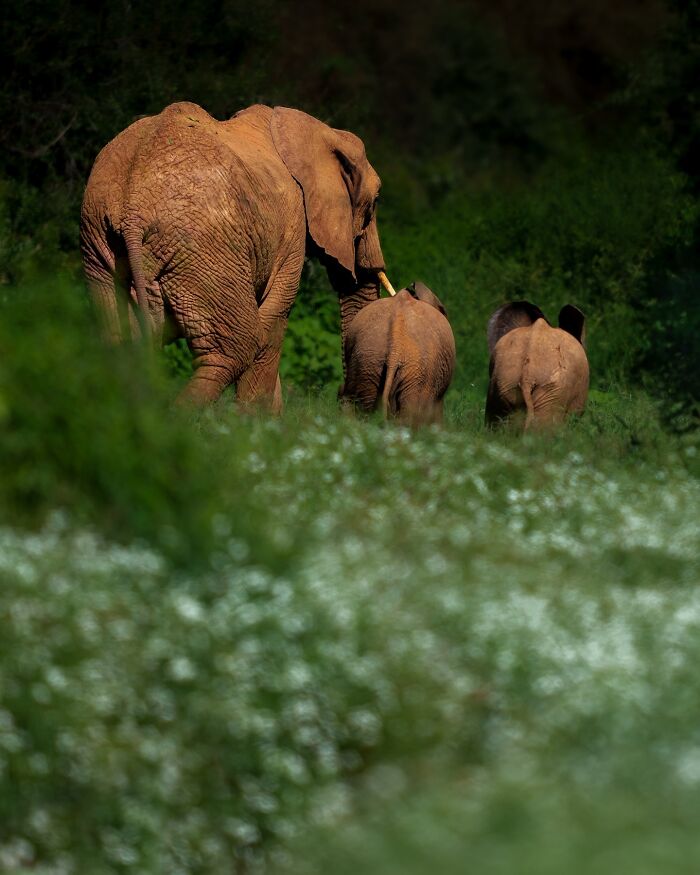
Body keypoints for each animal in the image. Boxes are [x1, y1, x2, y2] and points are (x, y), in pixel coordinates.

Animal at [82, 101, 392, 408]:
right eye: (375, 201)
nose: (340, 397)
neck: (318, 130)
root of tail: (133, 205)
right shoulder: (292, 224)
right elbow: (273, 318)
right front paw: (255, 420)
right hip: (204, 247)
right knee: (234, 348)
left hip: (100, 242)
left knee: (119, 343)